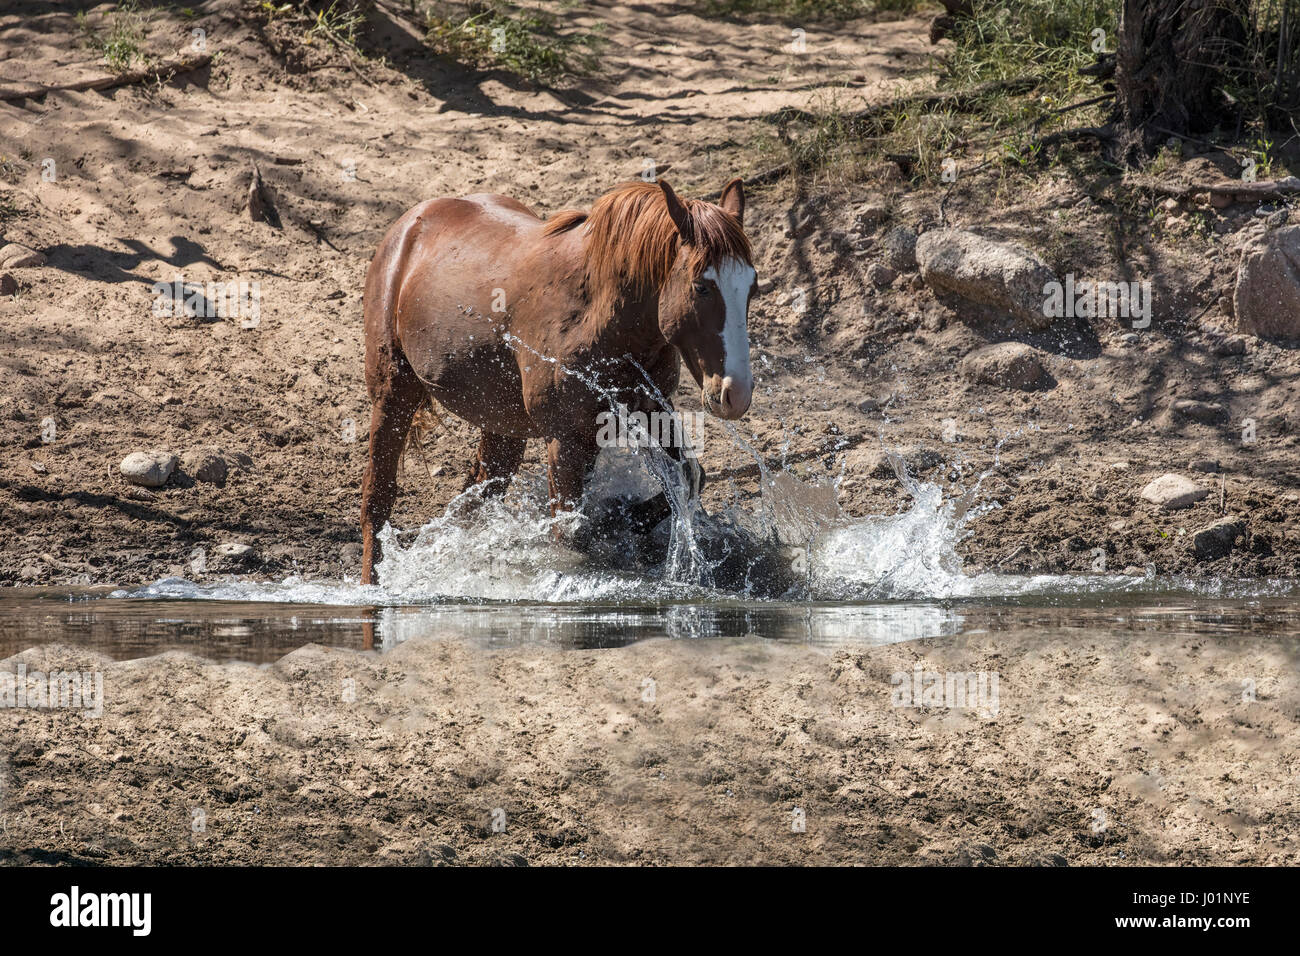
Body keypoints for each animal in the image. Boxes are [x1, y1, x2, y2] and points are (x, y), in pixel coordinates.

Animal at [361, 178, 759, 582]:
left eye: (751, 286)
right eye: (701, 287)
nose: (736, 394)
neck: (597, 316)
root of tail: (412, 222)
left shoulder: (650, 411)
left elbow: (693, 478)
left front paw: (618, 520)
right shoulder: (565, 440)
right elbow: (569, 537)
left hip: (502, 425)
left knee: (477, 496)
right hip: (393, 394)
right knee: (377, 500)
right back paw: (370, 584)